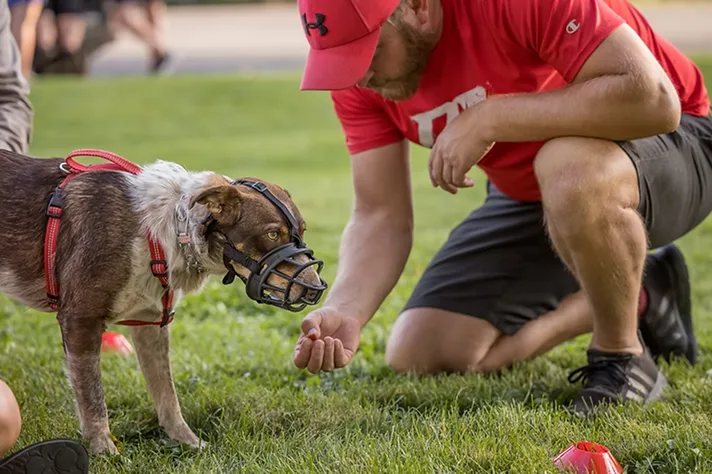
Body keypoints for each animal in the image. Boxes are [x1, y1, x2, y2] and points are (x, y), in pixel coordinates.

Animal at [0, 148, 327, 455]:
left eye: (302, 231)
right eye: (272, 233)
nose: (316, 289)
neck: (167, 228)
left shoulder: (150, 322)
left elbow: (167, 395)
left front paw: (187, 442)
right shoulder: (80, 318)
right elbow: (93, 398)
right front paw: (104, 451)